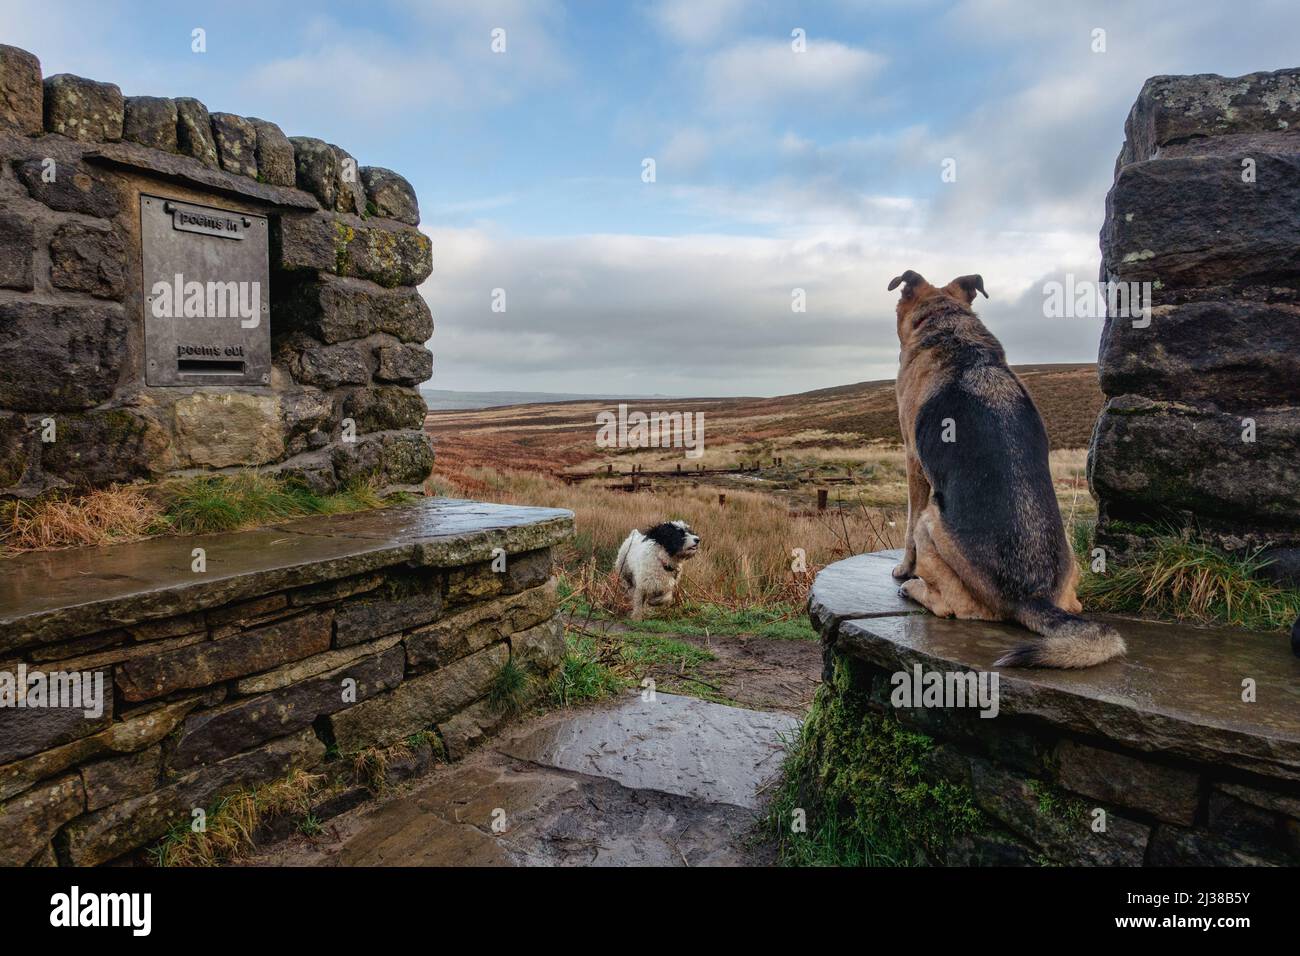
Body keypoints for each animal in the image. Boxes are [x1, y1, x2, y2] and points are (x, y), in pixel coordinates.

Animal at [889, 269, 1123, 671]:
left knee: (952, 606)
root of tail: (1031, 595)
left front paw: (904, 570)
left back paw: (913, 587)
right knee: (1074, 605)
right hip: (1071, 566)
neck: (949, 326)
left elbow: (906, 529)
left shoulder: (913, 461)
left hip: (932, 522)